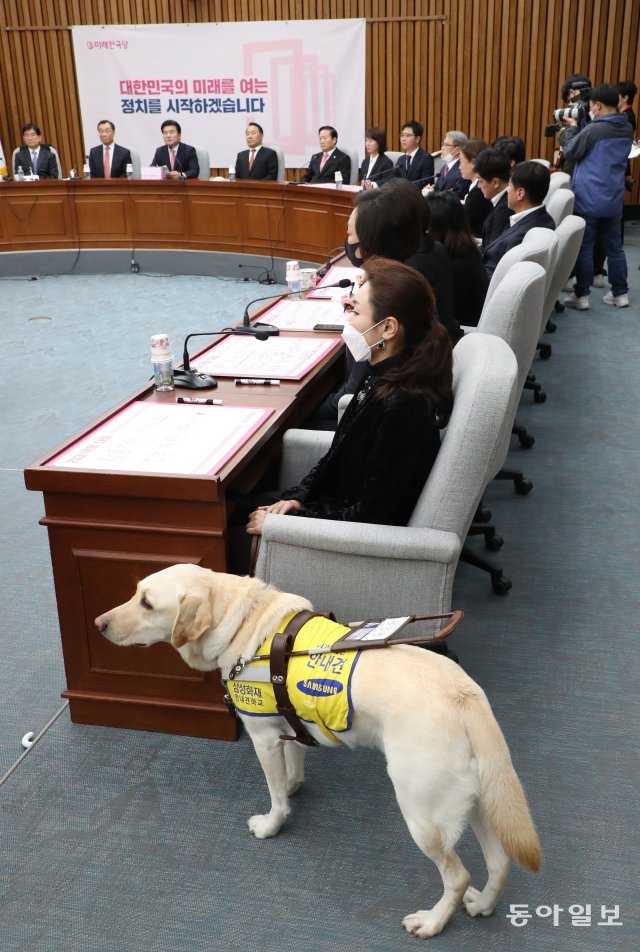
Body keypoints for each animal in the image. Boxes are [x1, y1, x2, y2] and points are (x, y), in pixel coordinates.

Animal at [97, 564, 544, 936]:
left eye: (147, 602)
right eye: (135, 592)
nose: (99, 623)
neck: (242, 620)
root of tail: (464, 695)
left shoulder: (262, 737)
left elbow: (275, 794)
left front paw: (273, 823)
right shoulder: (288, 724)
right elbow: (294, 763)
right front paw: (295, 784)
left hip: (423, 813)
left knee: (457, 876)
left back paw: (432, 923)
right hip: (476, 800)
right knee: (501, 861)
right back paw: (483, 904)